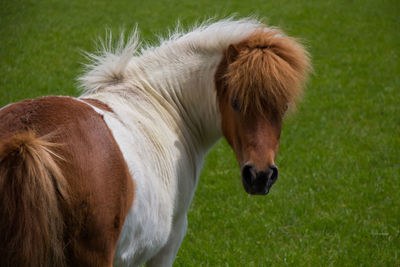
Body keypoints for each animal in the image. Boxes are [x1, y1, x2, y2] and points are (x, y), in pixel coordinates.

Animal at [0, 17, 310, 266]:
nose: (260, 176)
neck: (163, 103)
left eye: (283, 107)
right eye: (235, 102)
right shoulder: (168, 242)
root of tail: (27, 140)